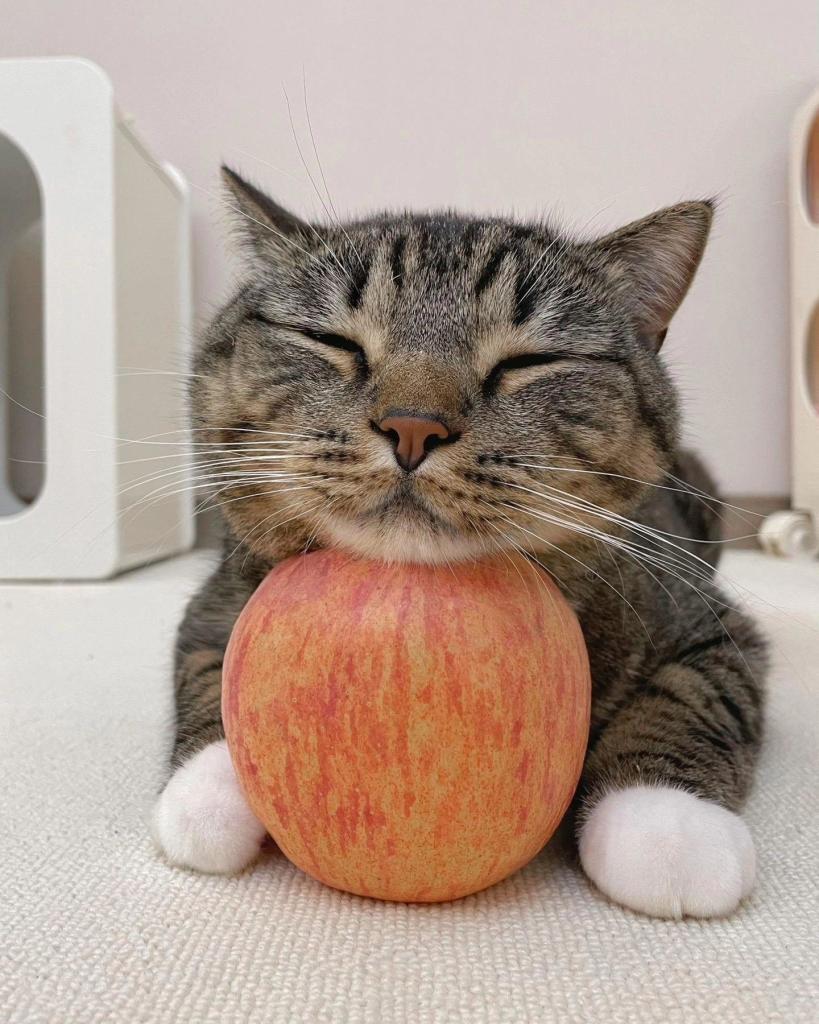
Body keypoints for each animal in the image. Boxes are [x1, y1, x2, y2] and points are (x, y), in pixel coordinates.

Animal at [151, 169, 769, 921]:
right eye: (332, 340)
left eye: (530, 361)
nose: (413, 426)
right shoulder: (217, 598)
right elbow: (204, 670)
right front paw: (207, 795)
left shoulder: (713, 624)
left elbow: (689, 697)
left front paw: (666, 827)